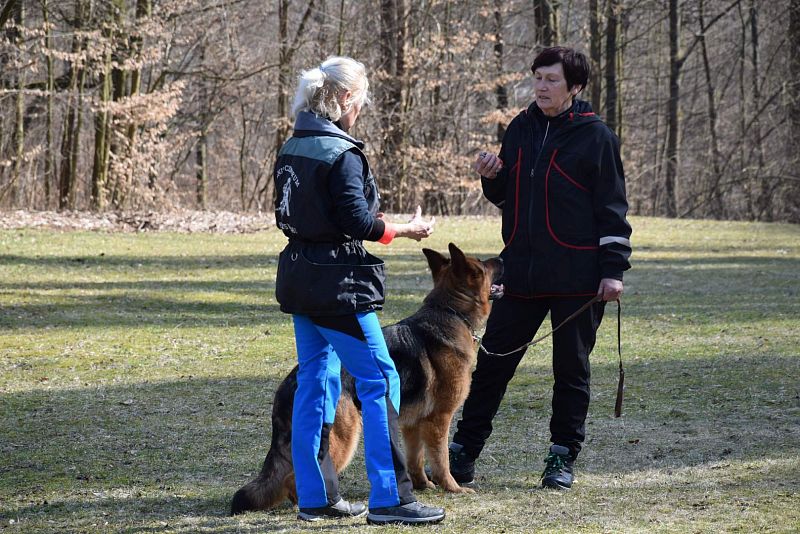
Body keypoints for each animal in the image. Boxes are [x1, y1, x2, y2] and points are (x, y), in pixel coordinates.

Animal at [231, 245, 504, 516]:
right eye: (482, 265)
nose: (502, 258)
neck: (451, 312)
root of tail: (289, 385)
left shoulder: (412, 424)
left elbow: (415, 459)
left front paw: (422, 485)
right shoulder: (439, 420)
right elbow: (441, 460)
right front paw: (453, 487)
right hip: (345, 436)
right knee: (295, 478)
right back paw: (320, 506)